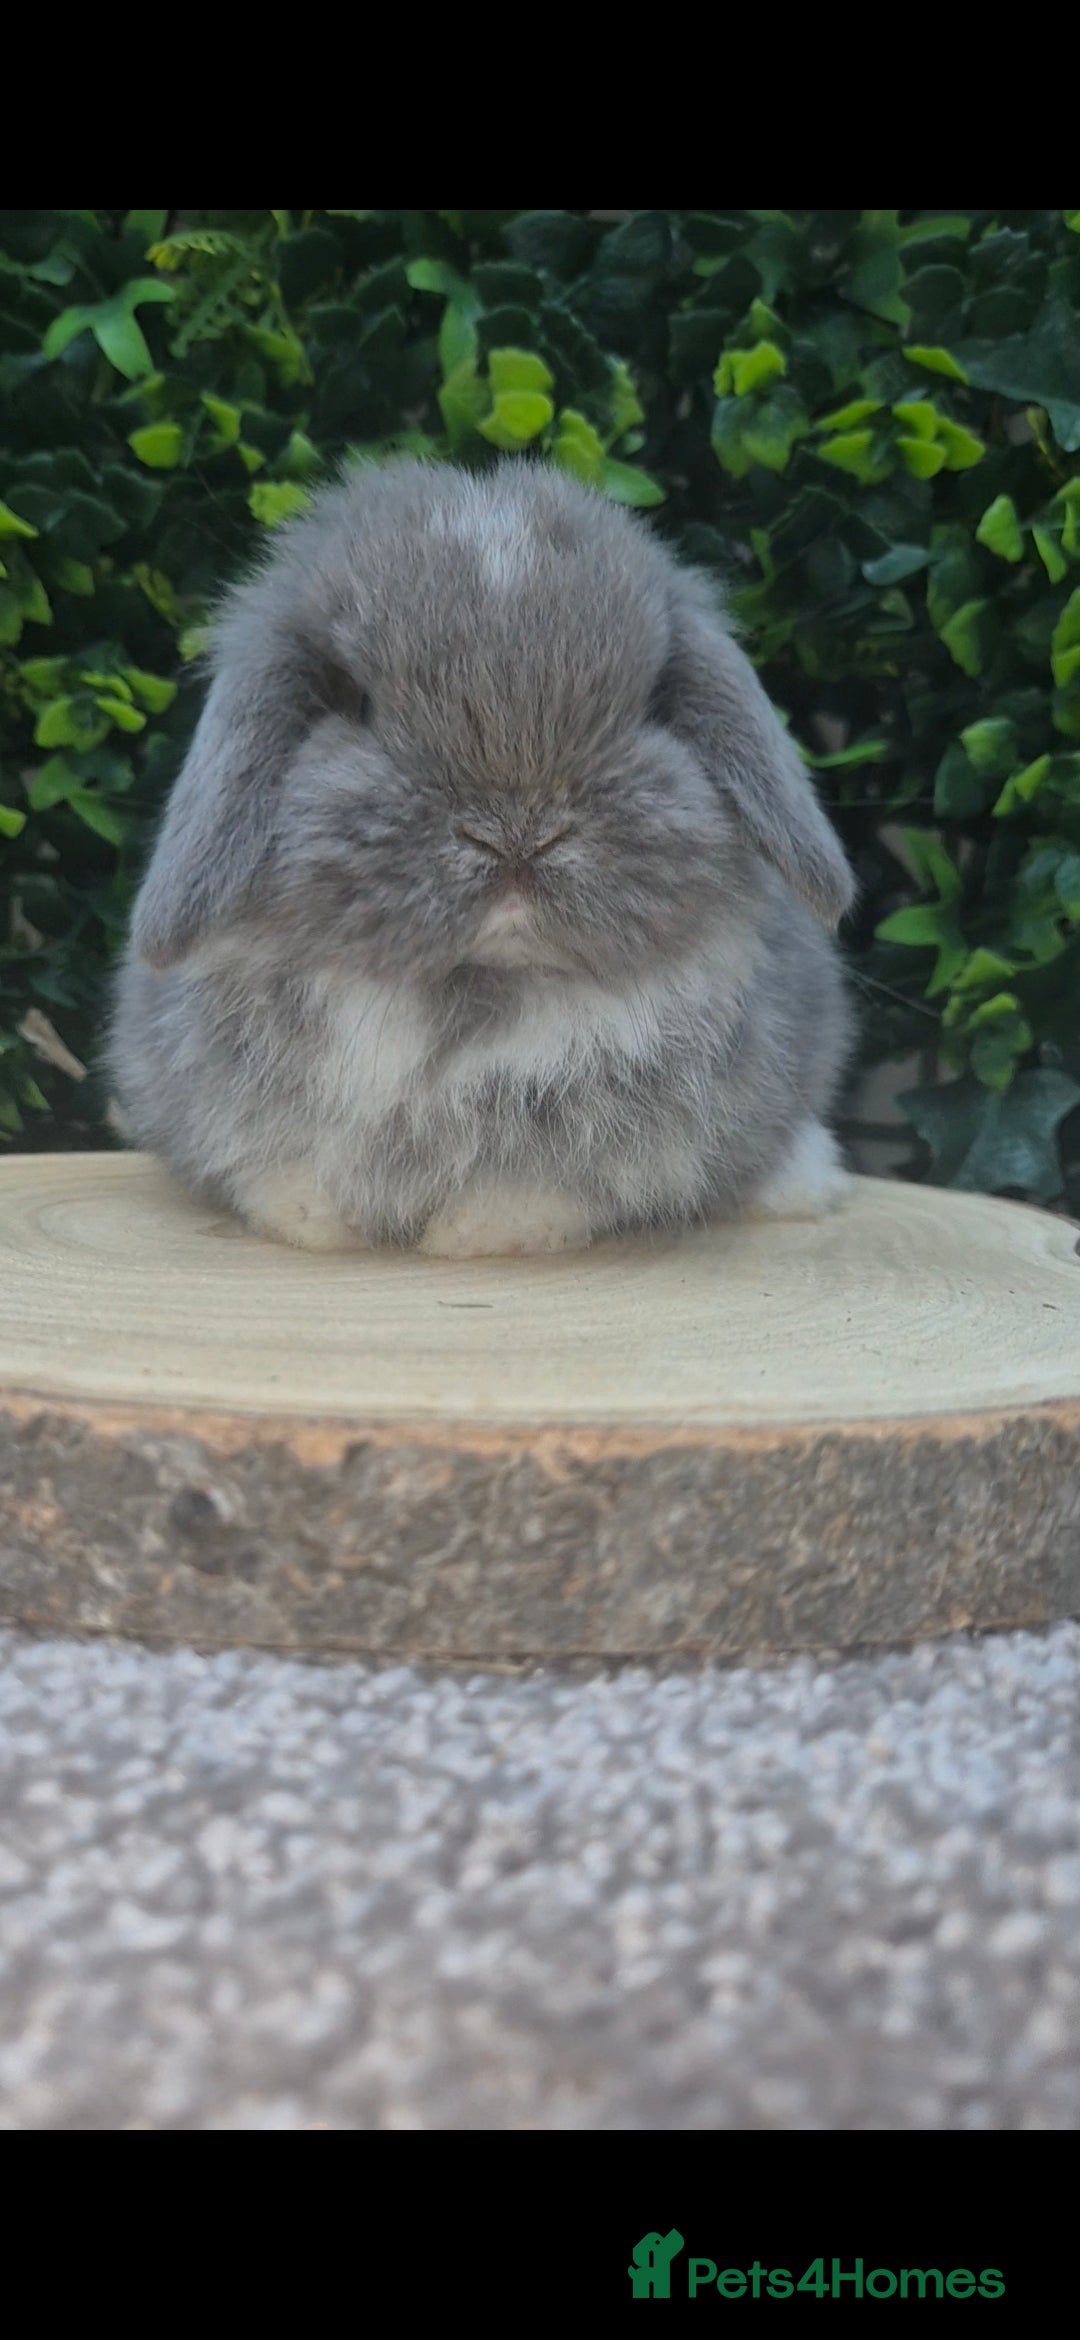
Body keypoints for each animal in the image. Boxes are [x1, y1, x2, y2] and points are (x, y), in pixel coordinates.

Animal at [108, 456, 856, 1258]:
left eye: (651, 704)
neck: (466, 1004)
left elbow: (546, 1187)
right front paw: (314, 1220)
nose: (517, 832)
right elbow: (287, 1172)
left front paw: (474, 1233)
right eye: (354, 701)